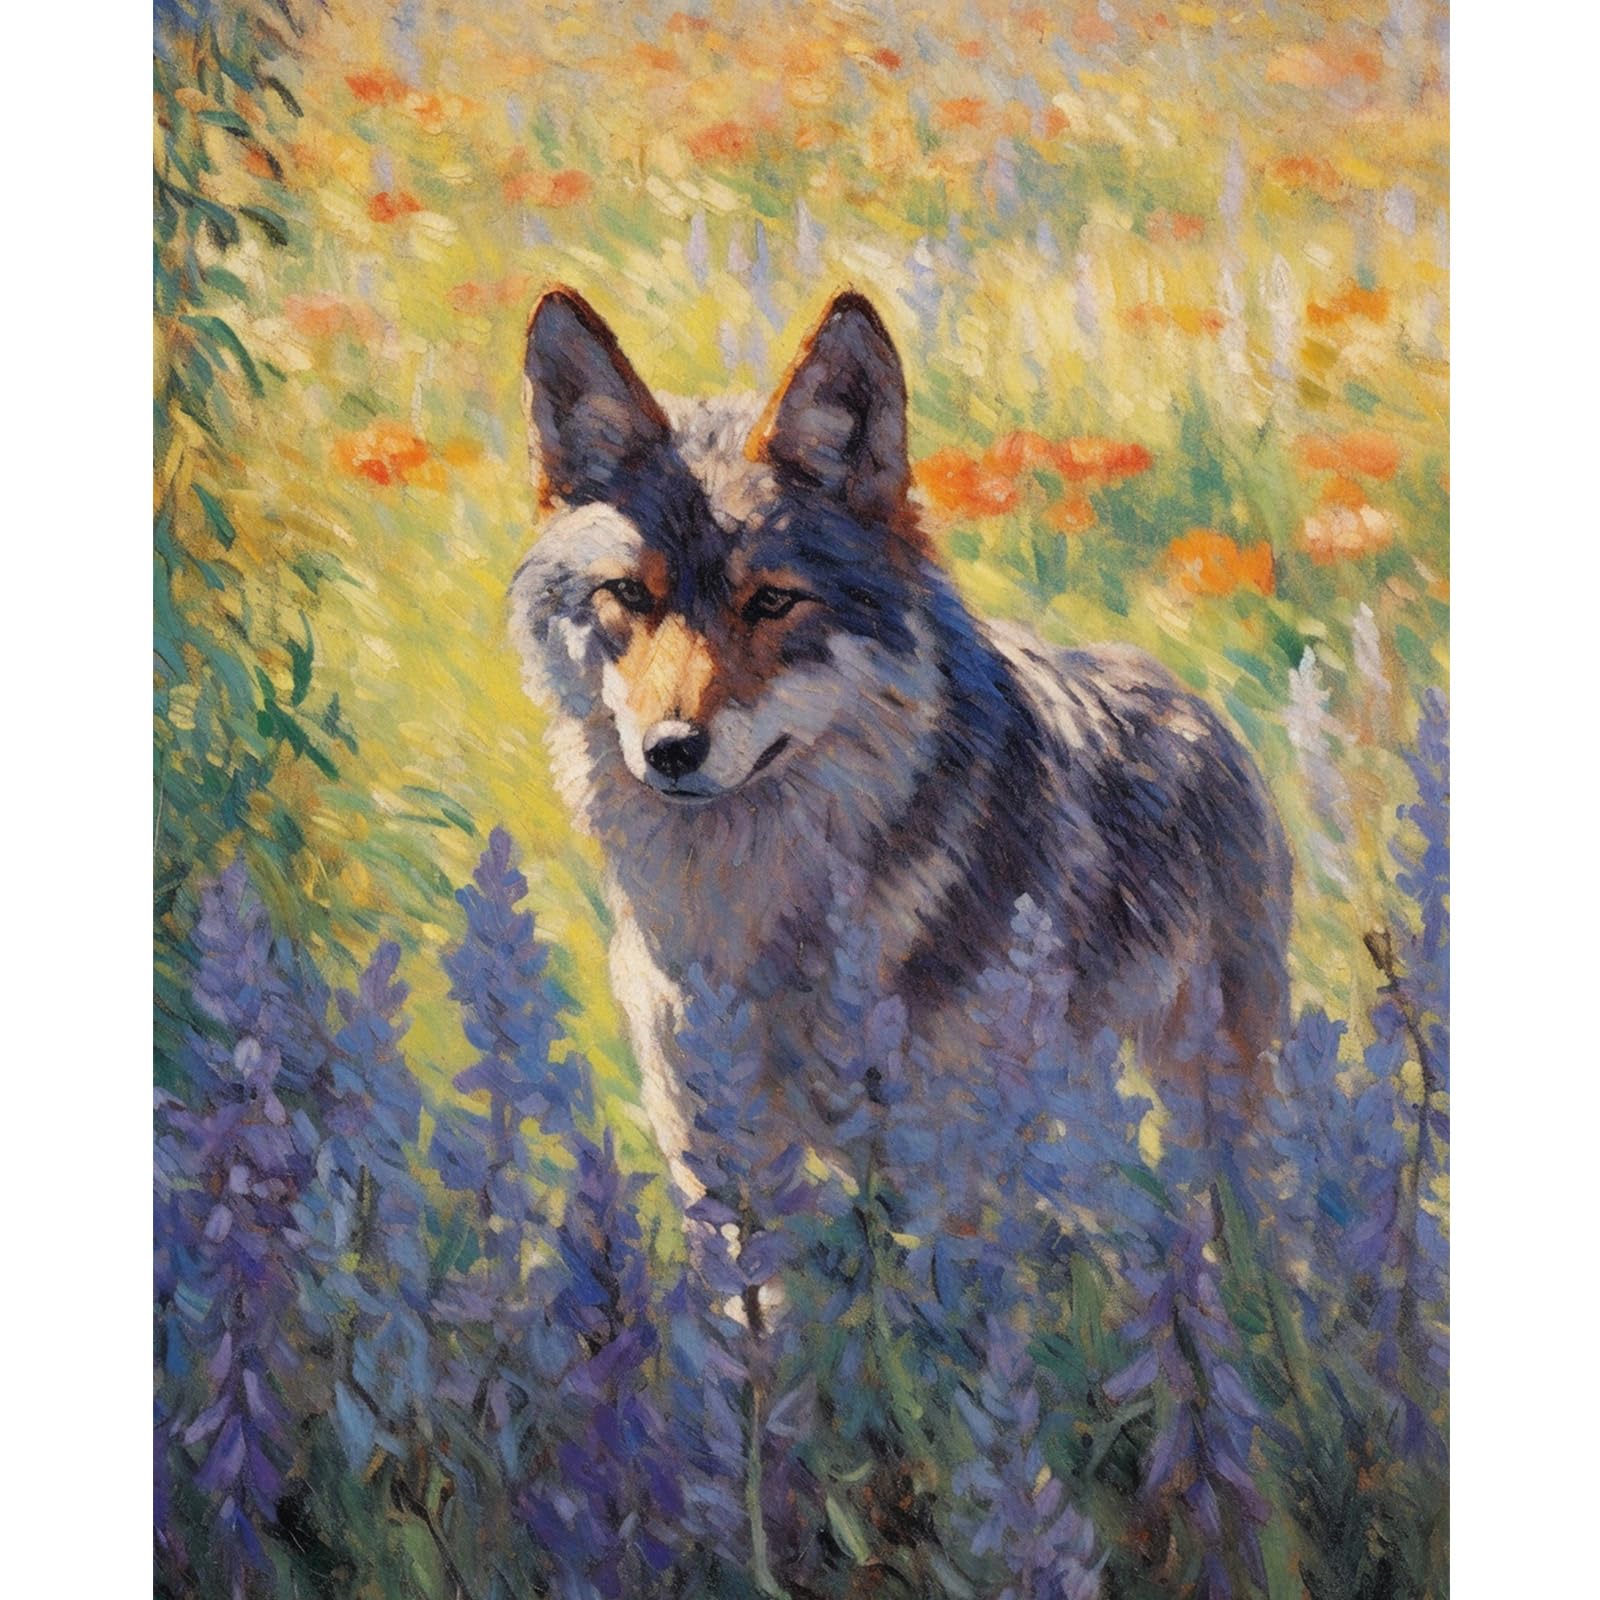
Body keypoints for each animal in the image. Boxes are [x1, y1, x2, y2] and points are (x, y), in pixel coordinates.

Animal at [509, 286, 1291, 1198]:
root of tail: (1184, 691)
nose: (670, 748)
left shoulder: (937, 1162)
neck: (752, 932)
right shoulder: (720, 1155)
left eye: (772, 602)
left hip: (1205, 1096)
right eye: (631, 594)